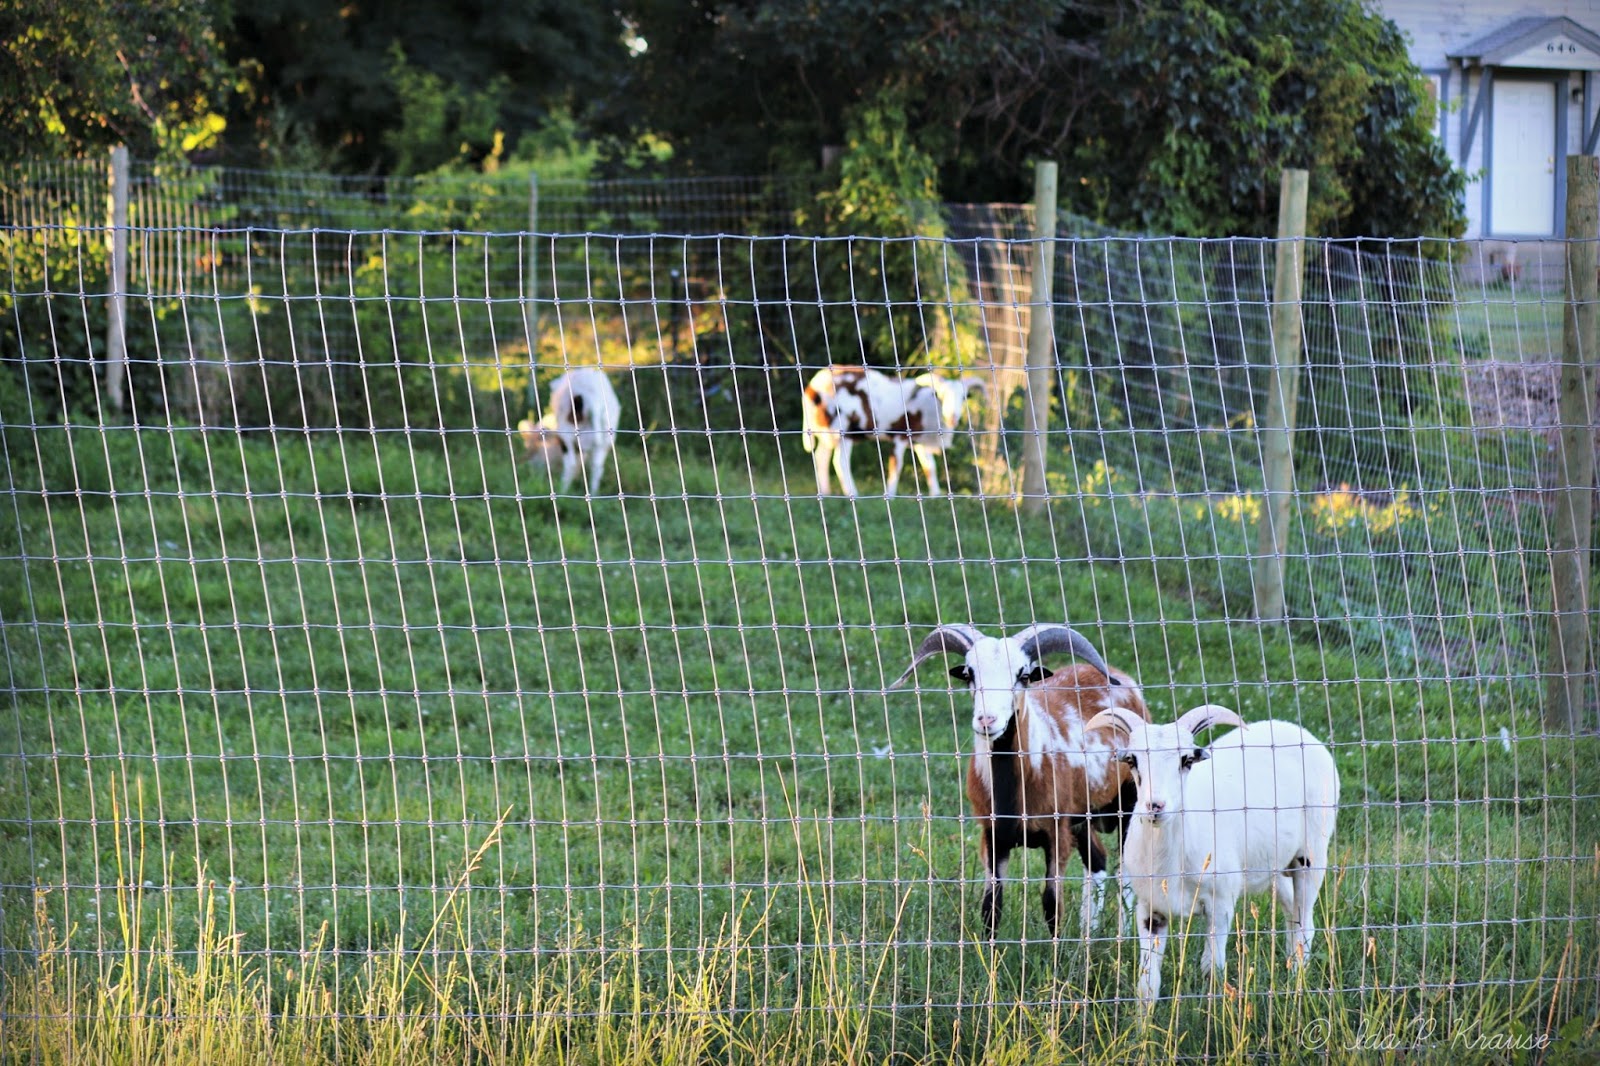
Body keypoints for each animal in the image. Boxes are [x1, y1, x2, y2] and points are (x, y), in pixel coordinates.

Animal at [801, 366, 983, 497]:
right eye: (941, 395)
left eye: (964, 397)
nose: (953, 417)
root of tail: (813, 387)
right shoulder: (900, 436)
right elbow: (896, 465)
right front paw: (892, 495)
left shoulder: (918, 440)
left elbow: (929, 466)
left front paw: (935, 495)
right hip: (842, 428)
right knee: (839, 462)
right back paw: (853, 494)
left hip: (826, 429)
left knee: (821, 457)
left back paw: (826, 492)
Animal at [890, 624, 1150, 937]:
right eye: (969, 673)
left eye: (1023, 676)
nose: (987, 721)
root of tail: (1120, 678)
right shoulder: (993, 835)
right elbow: (991, 906)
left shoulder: (1055, 832)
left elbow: (1052, 904)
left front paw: (1056, 950)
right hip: (1082, 815)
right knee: (1097, 860)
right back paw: (1088, 933)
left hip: (1128, 801)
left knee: (1126, 870)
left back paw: (1122, 935)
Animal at [1084, 704, 1340, 1011]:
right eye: (1132, 760)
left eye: (1187, 760)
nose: (1155, 806)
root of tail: (1294, 730)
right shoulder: (1149, 908)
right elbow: (1147, 983)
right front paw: (1142, 1023)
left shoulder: (1221, 903)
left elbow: (1211, 970)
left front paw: (1212, 1014)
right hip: (1273, 863)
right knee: (1292, 913)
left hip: (1312, 852)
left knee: (1305, 922)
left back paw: (1297, 981)